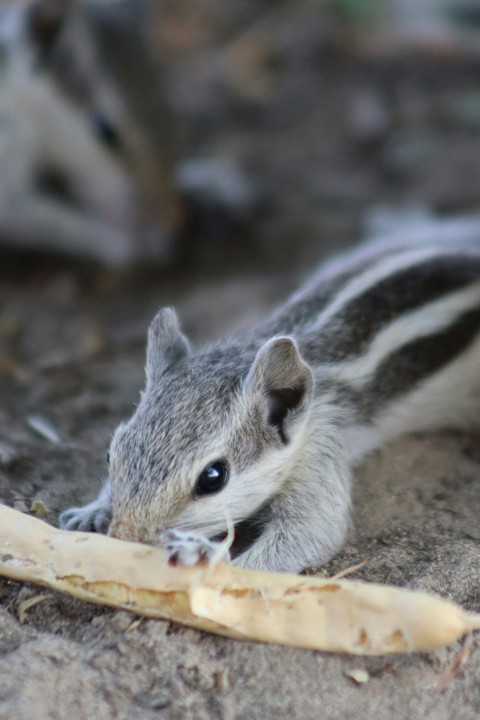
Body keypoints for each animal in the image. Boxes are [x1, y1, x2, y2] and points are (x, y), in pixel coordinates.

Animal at [61, 217, 480, 572]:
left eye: (213, 478)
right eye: (112, 452)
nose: (124, 536)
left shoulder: (318, 452)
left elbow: (312, 533)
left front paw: (208, 558)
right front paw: (92, 509)